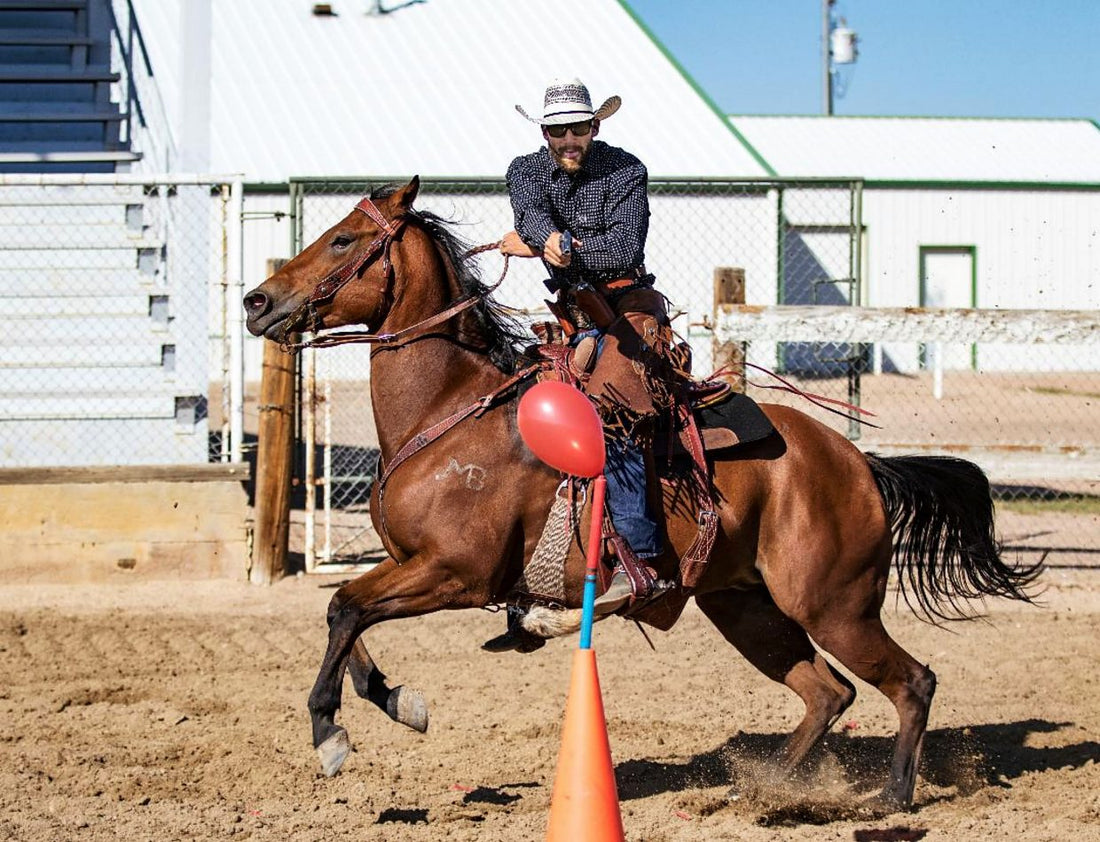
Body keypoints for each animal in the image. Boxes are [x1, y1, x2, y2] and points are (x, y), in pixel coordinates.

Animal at [245, 176, 1042, 810]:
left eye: (343, 241)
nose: (258, 300)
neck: (449, 411)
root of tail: (859, 463)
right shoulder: (408, 564)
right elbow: (345, 617)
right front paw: (398, 703)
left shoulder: (455, 573)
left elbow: (345, 611)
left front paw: (330, 731)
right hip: (746, 607)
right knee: (830, 694)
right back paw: (758, 789)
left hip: (834, 605)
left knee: (912, 682)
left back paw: (890, 798)